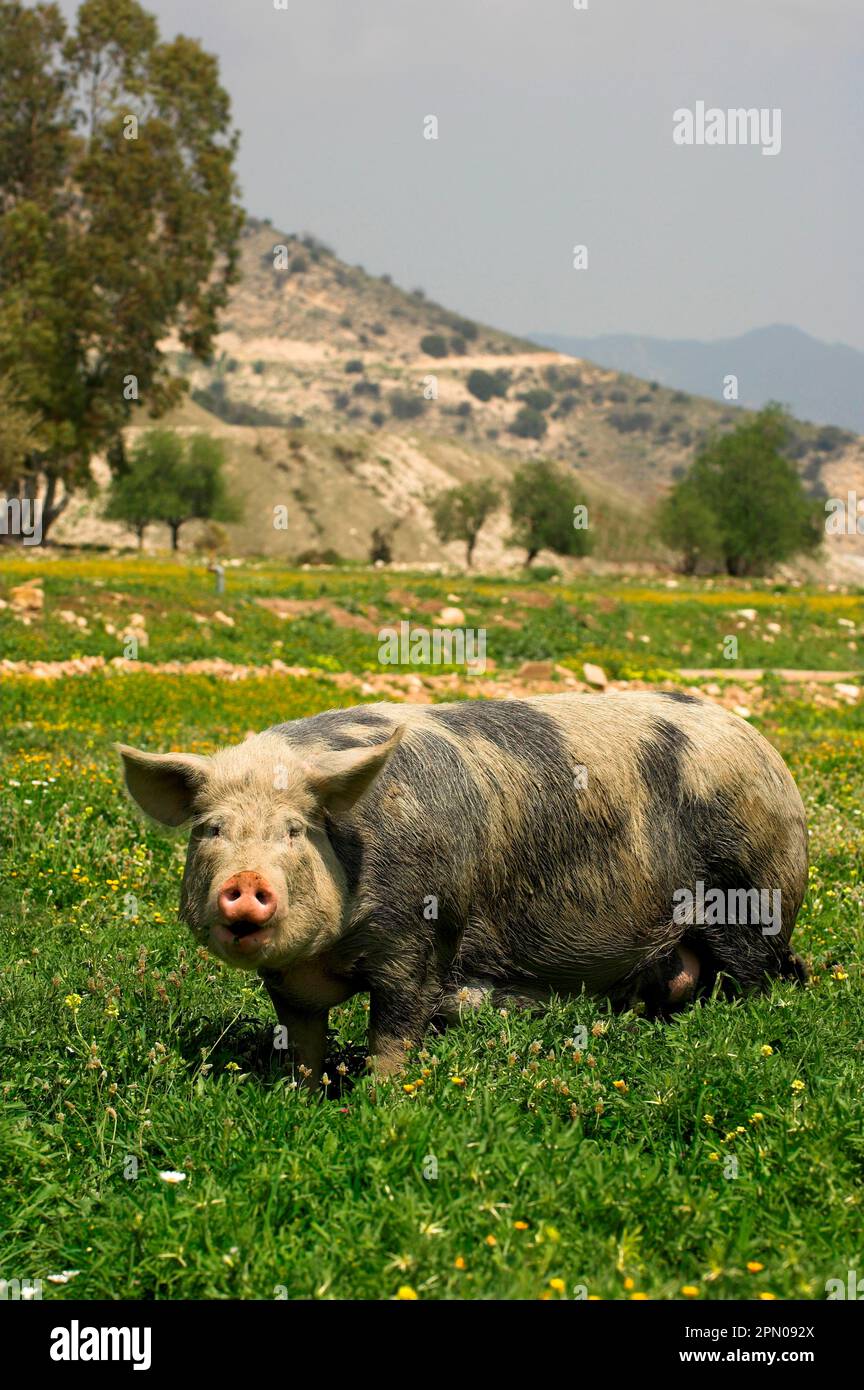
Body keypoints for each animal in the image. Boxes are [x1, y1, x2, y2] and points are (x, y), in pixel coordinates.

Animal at [118, 692, 811, 1084]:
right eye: (211, 829)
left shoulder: (418, 940)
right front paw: (300, 1095)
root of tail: (768, 755)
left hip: (747, 896)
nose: (245, 882)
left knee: (764, 976)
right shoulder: (288, 979)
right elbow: (304, 1038)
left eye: (296, 830)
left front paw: (380, 1099)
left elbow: (396, 1029)